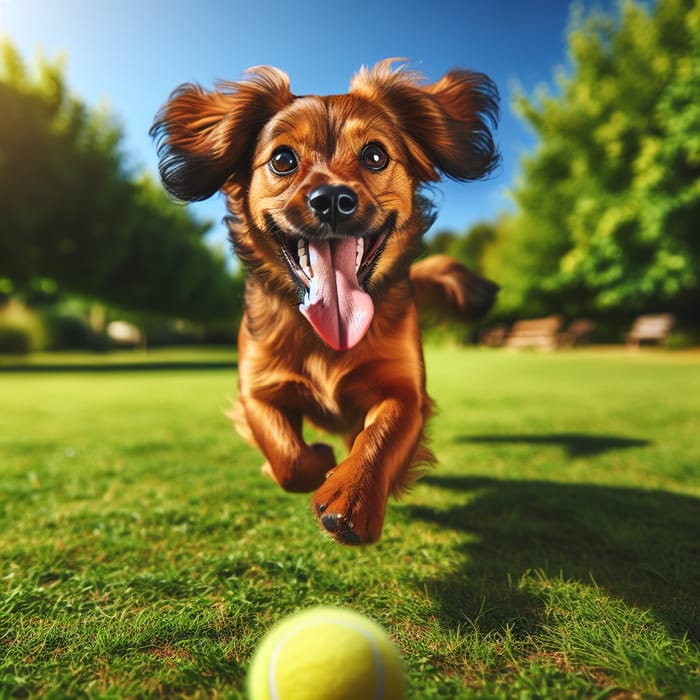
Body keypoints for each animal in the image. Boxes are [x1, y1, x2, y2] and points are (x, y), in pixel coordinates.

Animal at [151, 60, 498, 544]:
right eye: (282, 159)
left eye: (375, 155)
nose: (333, 199)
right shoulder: (256, 387)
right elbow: (288, 457)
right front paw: (319, 461)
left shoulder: (406, 392)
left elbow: (379, 437)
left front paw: (352, 497)